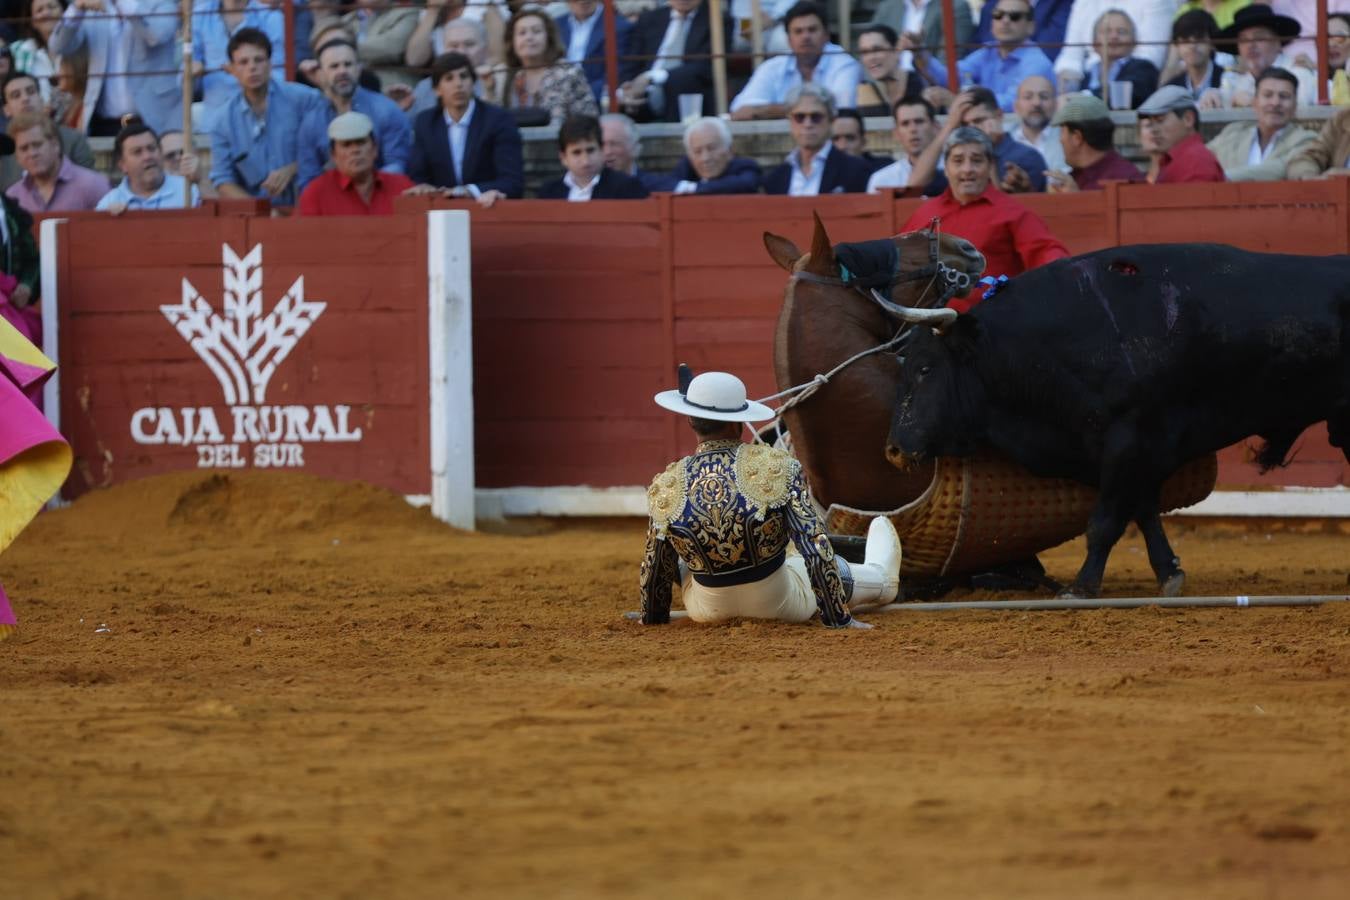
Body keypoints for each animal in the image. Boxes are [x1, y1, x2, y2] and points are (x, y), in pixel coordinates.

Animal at [885, 242, 1350, 601]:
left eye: (925, 369)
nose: (894, 448)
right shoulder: (1138, 452)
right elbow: (1143, 511)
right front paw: (1169, 574)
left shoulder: (1130, 439)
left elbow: (1105, 521)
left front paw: (1081, 588)